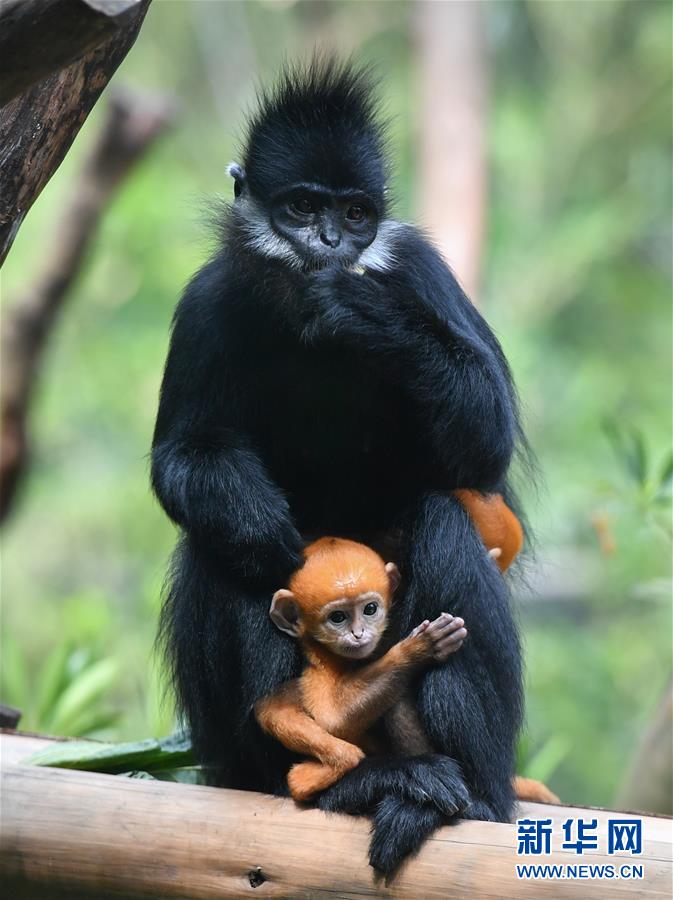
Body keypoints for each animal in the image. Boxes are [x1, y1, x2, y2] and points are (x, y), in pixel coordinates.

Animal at [255, 496, 552, 804]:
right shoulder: (320, 658)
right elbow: (328, 716)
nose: (358, 634)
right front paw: (419, 648)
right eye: (337, 618)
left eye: (370, 609)